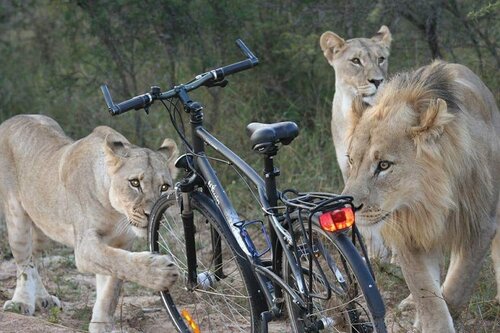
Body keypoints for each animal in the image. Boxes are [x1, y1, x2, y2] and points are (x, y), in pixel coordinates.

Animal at [0, 115, 180, 332]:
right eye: (135, 183)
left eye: (165, 187)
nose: (150, 214)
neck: (116, 213)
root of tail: (13, 119)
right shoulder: (84, 245)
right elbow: (117, 261)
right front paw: (161, 272)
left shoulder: (121, 243)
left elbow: (111, 287)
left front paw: (101, 325)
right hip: (17, 217)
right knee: (24, 262)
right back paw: (22, 302)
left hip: (44, 226)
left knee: (34, 256)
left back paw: (44, 298)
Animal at [344, 61, 500, 330]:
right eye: (351, 161)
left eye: (384, 165)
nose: (349, 207)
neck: (429, 197)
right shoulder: (409, 230)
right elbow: (424, 290)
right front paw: (430, 320)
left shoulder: (481, 224)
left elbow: (458, 286)